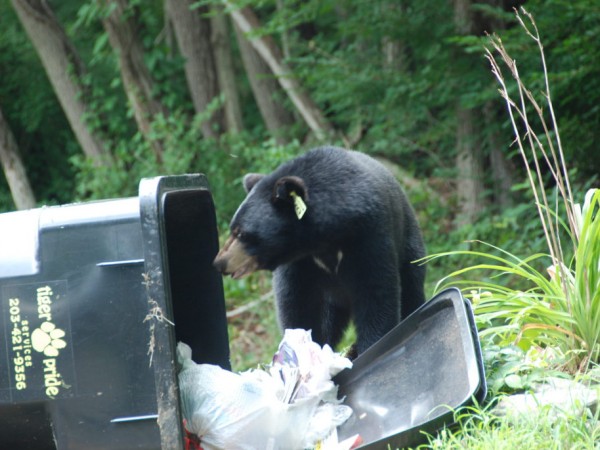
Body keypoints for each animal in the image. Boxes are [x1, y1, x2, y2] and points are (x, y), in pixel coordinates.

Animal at [213, 146, 424, 356]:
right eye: (233, 228)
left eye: (240, 233)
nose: (219, 263)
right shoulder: (298, 263)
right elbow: (297, 306)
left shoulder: (370, 235)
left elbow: (376, 294)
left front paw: (370, 346)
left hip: (408, 242)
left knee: (411, 286)